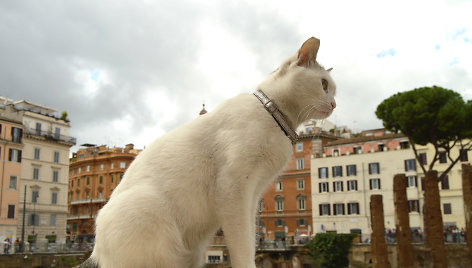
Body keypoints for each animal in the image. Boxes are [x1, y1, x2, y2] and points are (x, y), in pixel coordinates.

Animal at [80, 36, 336, 266]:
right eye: (324, 84)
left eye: (333, 90)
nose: (334, 104)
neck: (274, 116)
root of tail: (97, 254)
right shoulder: (233, 189)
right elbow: (243, 246)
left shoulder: (253, 195)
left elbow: (251, 239)